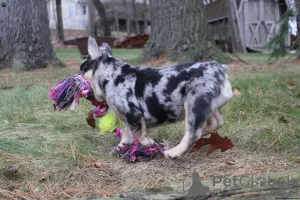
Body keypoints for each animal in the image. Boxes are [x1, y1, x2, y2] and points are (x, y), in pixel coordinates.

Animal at [79, 36, 232, 159]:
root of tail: (220, 68)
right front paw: (118, 149)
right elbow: (127, 135)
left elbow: (139, 134)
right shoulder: (129, 119)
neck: (111, 76)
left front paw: (149, 145)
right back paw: (204, 130)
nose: (77, 76)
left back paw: (173, 152)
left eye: (81, 69)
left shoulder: (133, 114)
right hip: (210, 105)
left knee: (193, 133)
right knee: (215, 122)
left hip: (195, 104)